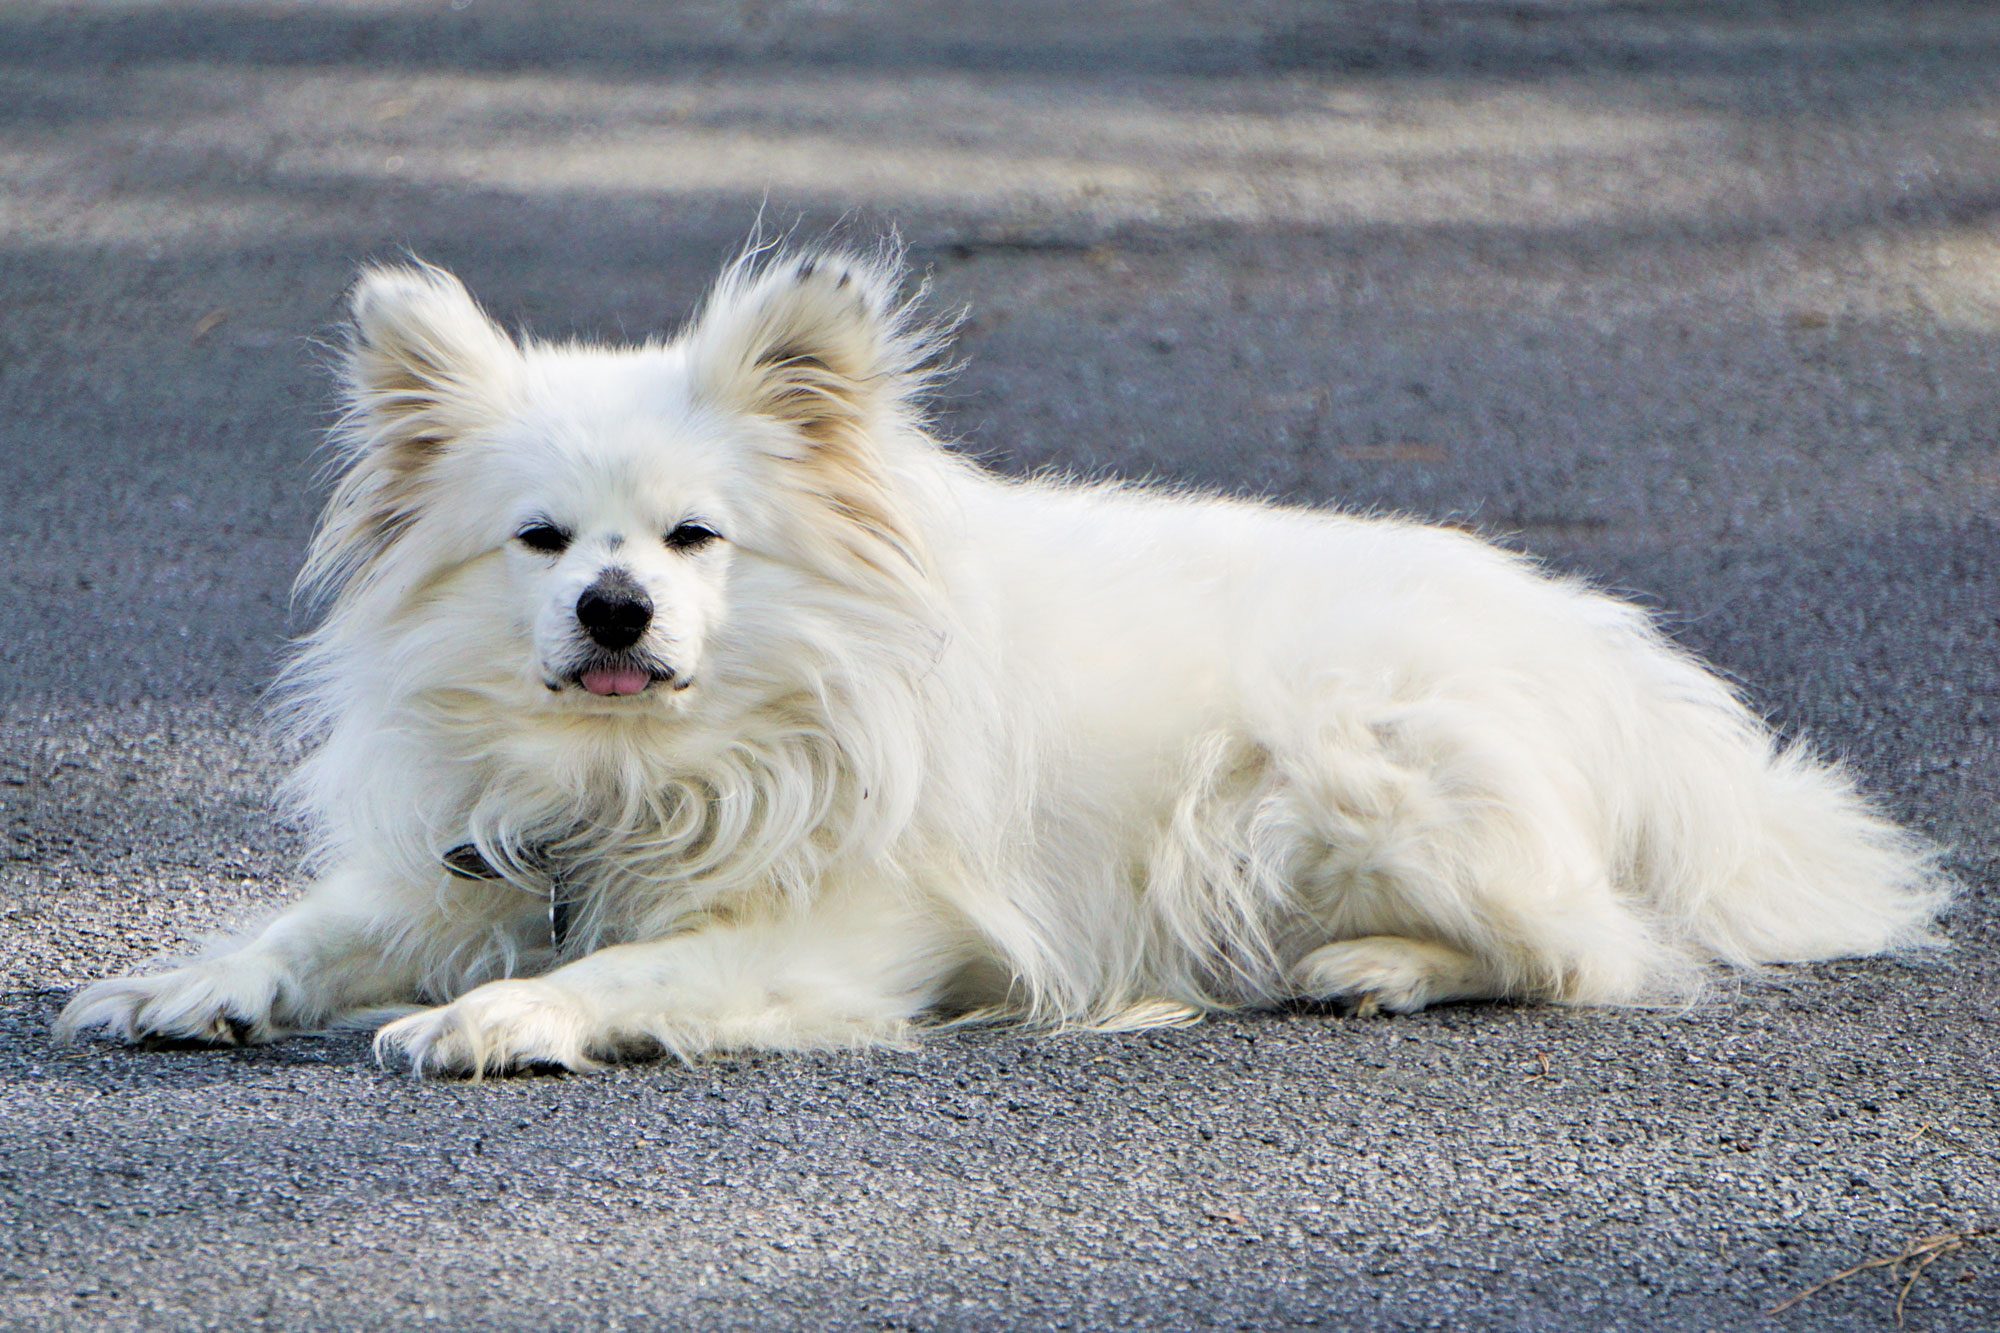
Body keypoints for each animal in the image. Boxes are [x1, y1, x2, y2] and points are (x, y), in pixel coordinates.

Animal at [58, 241, 1936, 1072]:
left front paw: (505, 1012)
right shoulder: (472, 855)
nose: (616, 612)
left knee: (1587, 948)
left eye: (692, 542)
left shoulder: (844, 939)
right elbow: (323, 921)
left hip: (1345, 765)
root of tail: (1644, 699)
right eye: (542, 544)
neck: (648, 774)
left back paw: (1373, 969)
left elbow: (634, 967)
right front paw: (191, 982)